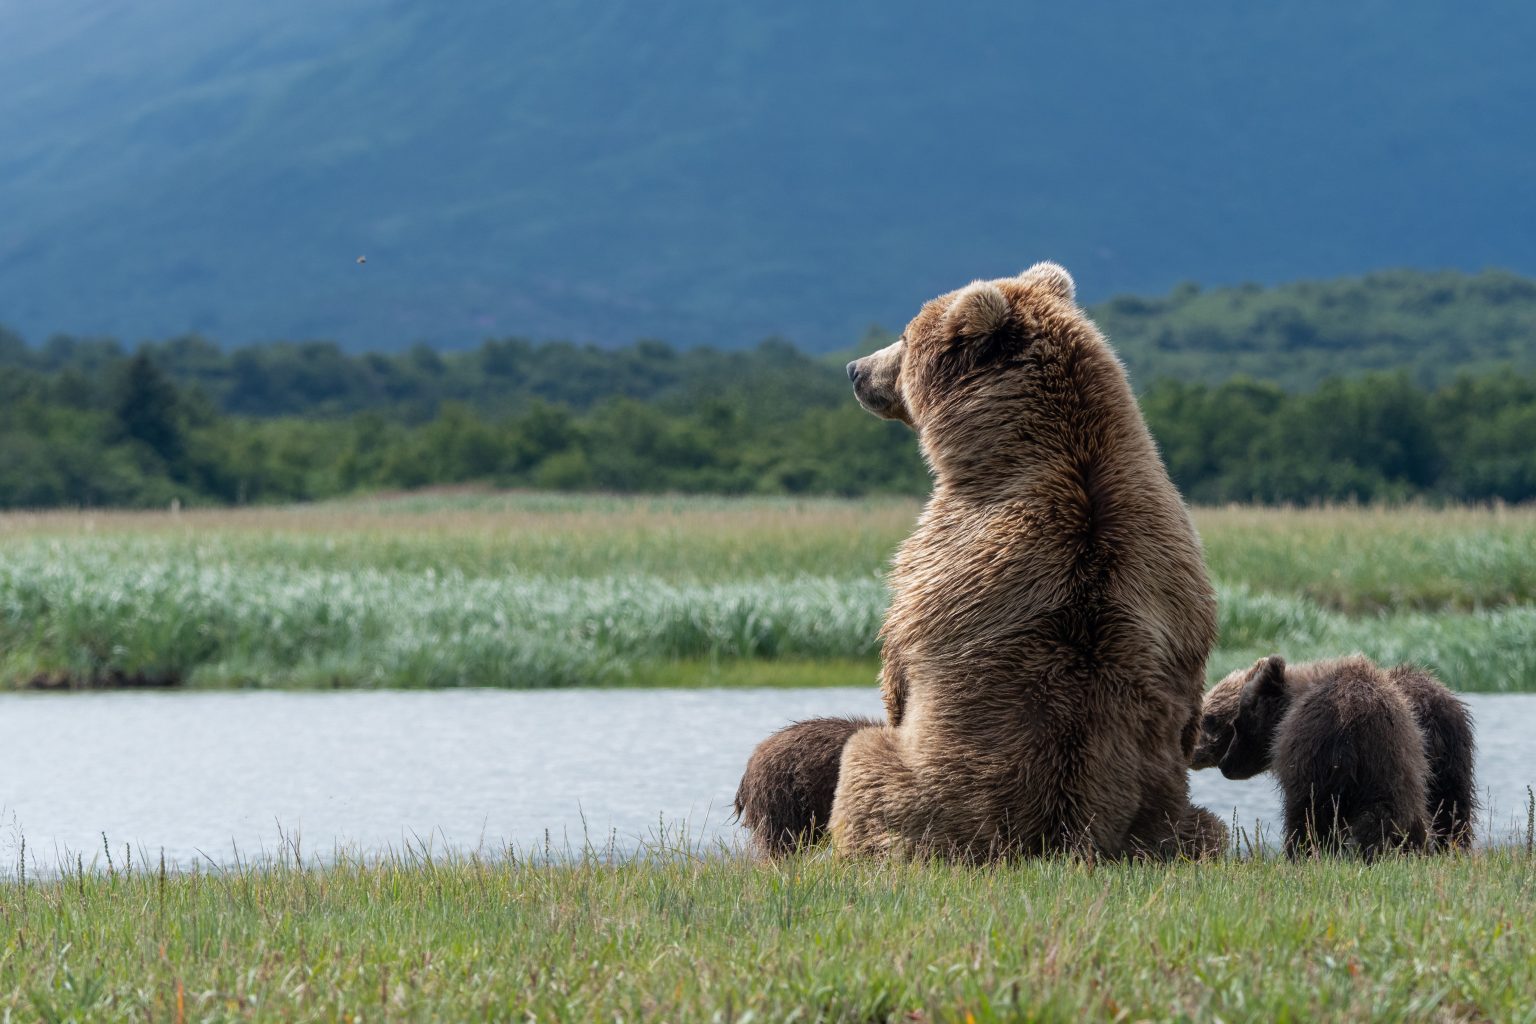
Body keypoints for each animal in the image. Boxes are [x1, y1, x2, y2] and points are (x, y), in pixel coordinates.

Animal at [828, 262, 1226, 862]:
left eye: (904, 334)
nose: (855, 370)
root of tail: (1062, 837)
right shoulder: (1172, 557)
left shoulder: (947, 541)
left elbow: (900, 647)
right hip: (1171, 817)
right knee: (1208, 826)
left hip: (926, 794)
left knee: (861, 761)